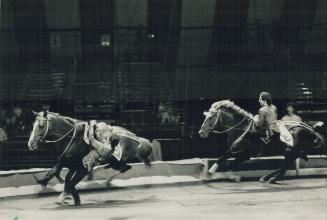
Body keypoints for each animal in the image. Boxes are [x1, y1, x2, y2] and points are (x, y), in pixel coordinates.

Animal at [197, 100, 326, 183]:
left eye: (210, 117)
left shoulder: (245, 154)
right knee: (289, 161)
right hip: (291, 150)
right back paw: (268, 177)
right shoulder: (235, 150)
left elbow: (228, 162)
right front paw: (217, 173)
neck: (243, 129)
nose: (201, 132)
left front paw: (213, 173)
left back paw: (272, 178)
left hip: (292, 150)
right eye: (206, 116)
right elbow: (226, 158)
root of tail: (310, 129)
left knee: (288, 163)